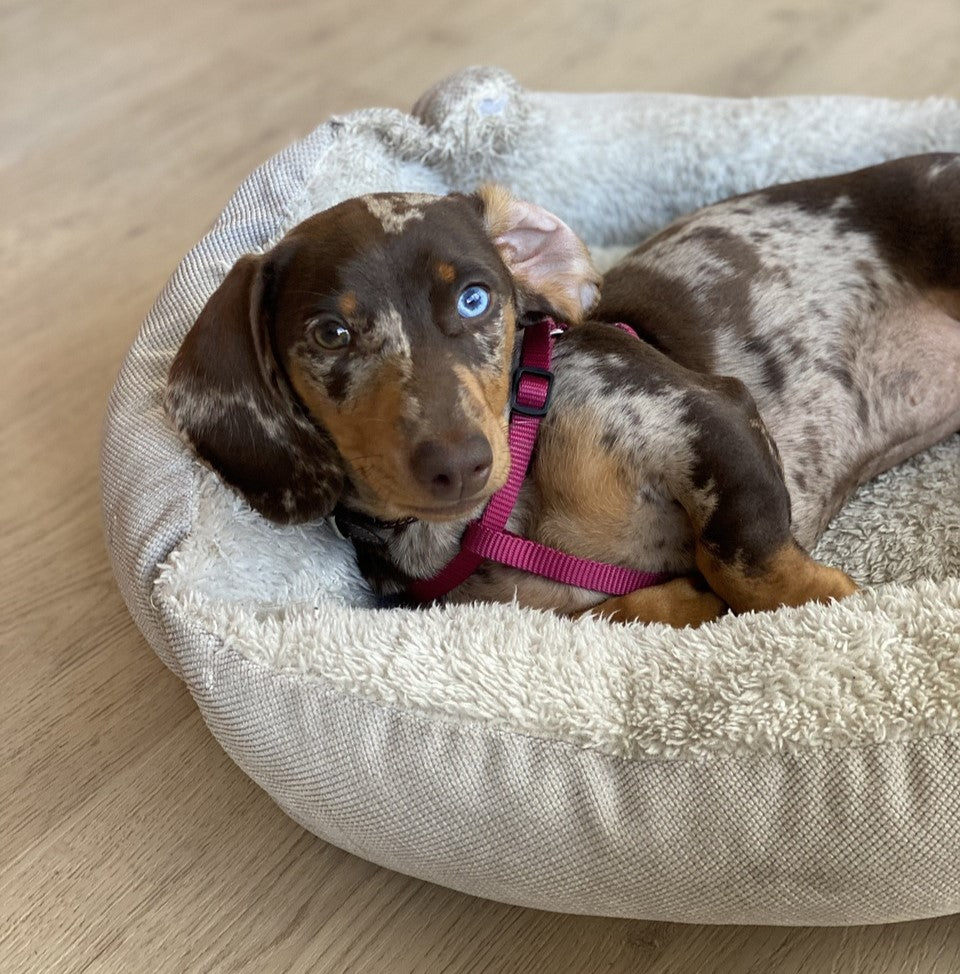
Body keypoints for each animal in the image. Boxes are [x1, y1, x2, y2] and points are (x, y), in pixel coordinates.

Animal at [167, 152, 960, 624]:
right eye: (331, 334)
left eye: (476, 299)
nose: (458, 463)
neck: (505, 516)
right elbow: (632, 606)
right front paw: (681, 598)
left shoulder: (706, 414)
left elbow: (748, 566)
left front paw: (829, 607)